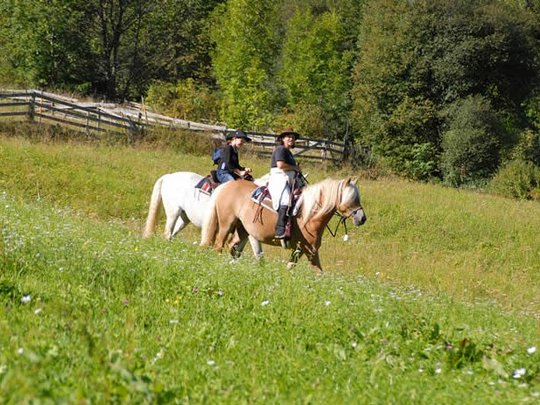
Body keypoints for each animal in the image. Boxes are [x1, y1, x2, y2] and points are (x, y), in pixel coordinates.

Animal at [201, 177, 368, 272]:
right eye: (351, 198)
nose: (362, 218)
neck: (309, 216)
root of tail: (226, 186)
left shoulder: (300, 250)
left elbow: (291, 268)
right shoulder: (310, 250)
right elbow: (319, 272)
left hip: (243, 230)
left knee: (233, 248)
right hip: (226, 224)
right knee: (219, 246)